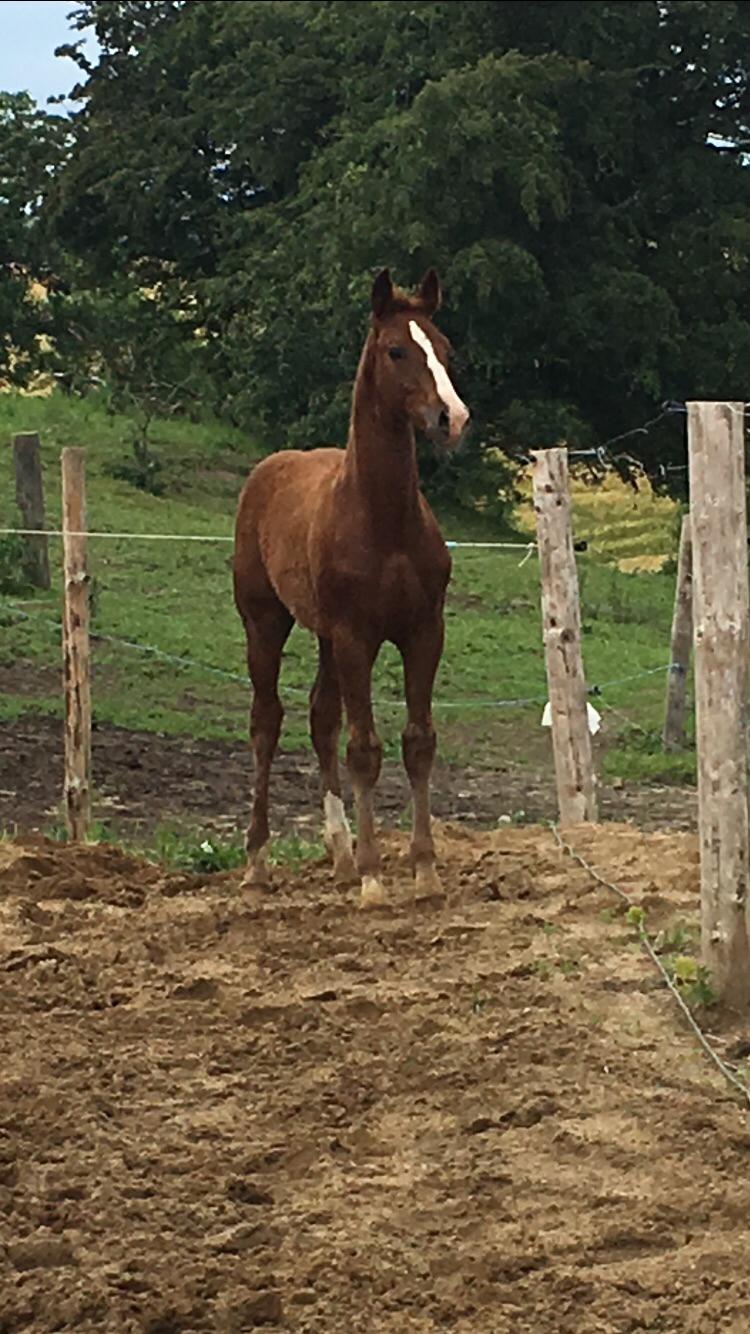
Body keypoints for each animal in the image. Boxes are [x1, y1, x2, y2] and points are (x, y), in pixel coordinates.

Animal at [233, 269, 467, 907]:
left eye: (445, 349)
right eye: (396, 351)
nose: (452, 419)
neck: (382, 521)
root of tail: (267, 469)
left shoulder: (423, 632)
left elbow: (418, 740)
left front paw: (424, 870)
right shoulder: (357, 637)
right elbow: (365, 748)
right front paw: (373, 878)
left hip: (324, 638)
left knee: (320, 717)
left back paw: (337, 854)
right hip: (266, 622)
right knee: (267, 721)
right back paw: (258, 862)